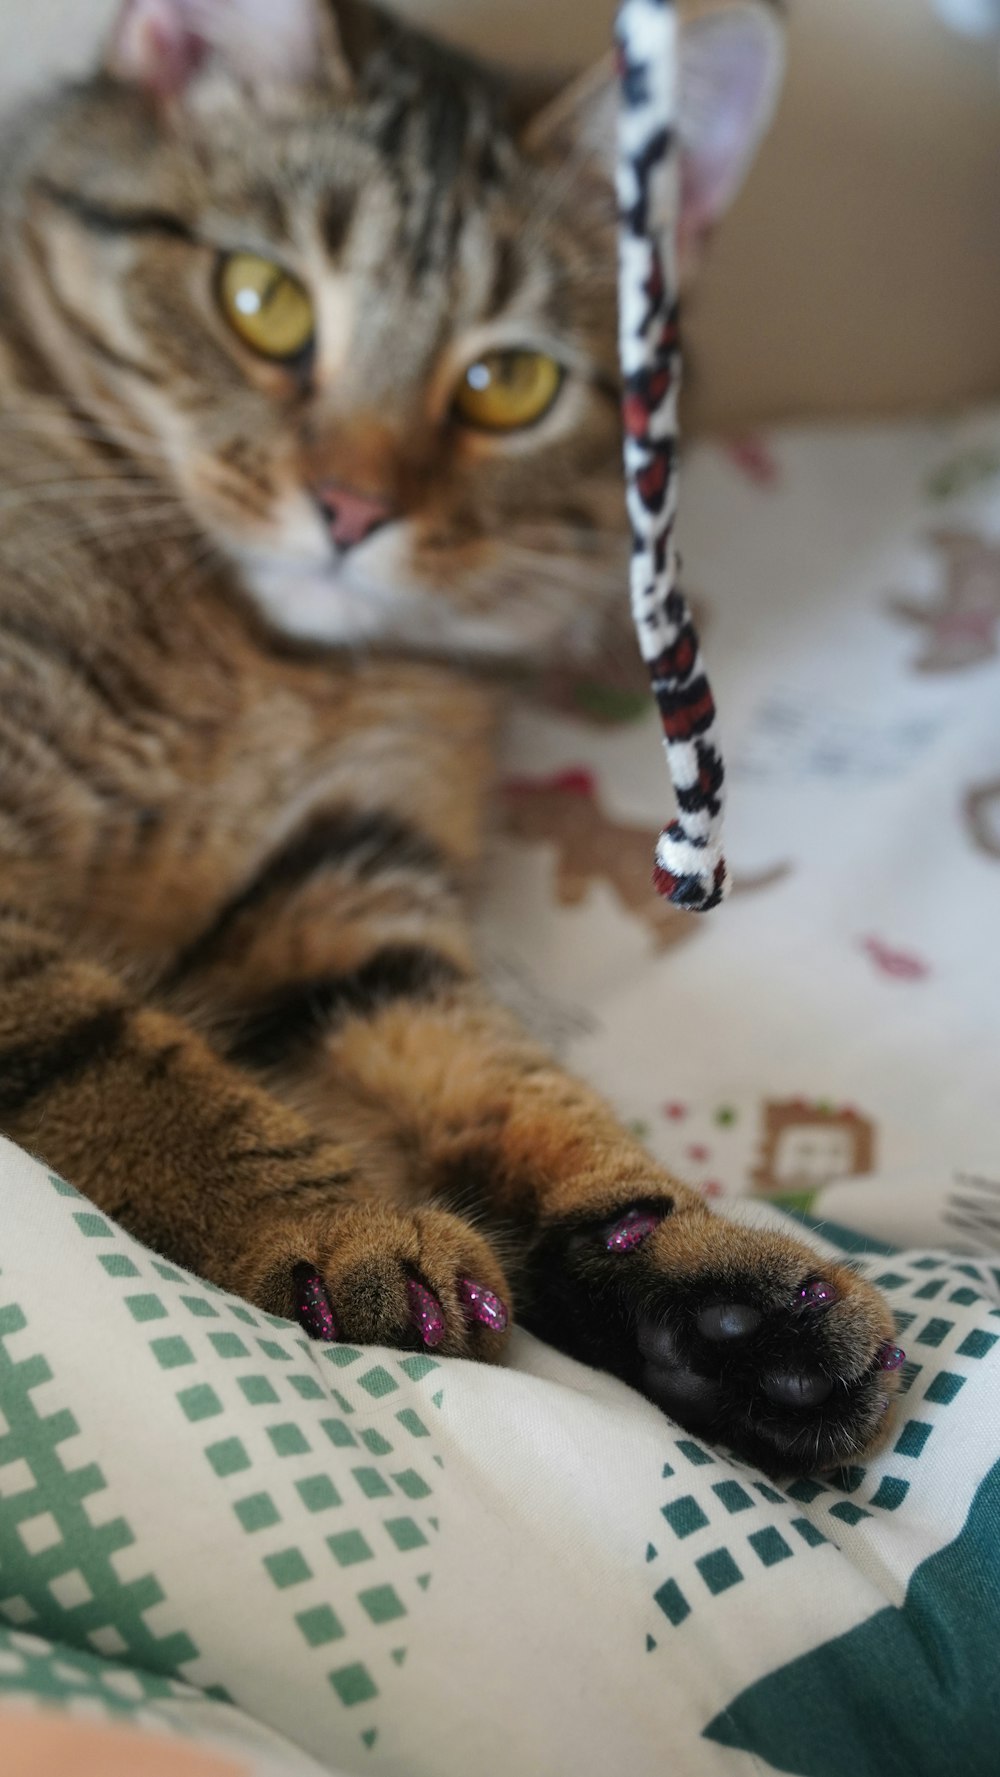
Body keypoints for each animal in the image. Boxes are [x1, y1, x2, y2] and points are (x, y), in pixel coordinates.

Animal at [0, 0, 898, 1471]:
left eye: (507, 383)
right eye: (263, 302)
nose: (351, 510)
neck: (274, 667)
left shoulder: (343, 897)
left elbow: (509, 1086)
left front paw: (701, 1282)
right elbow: (121, 1057)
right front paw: (335, 1222)